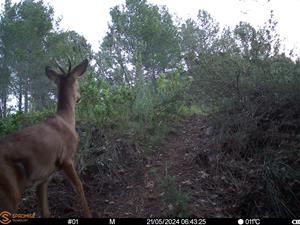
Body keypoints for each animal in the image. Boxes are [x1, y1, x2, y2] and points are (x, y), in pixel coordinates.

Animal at [0, 59, 91, 217]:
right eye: (77, 81)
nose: (79, 97)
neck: (66, 120)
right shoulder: (66, 158)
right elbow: (79, 186)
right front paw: (88, 214)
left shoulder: (43, 177)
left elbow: (45, 211)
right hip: (9, 189)